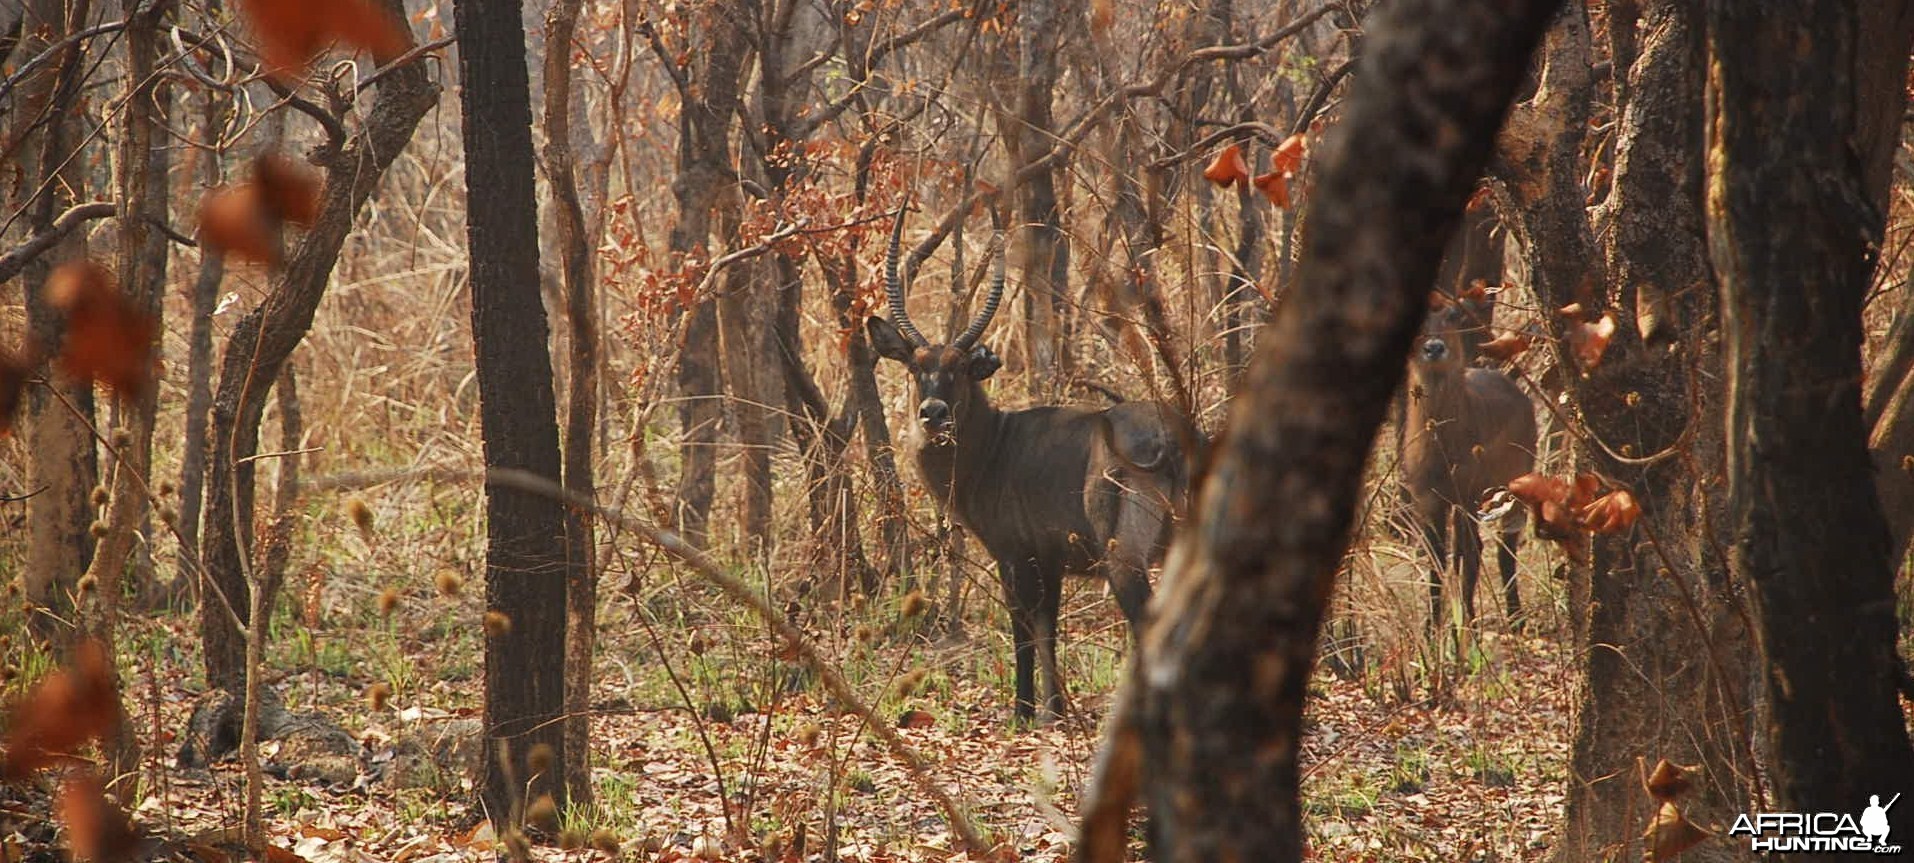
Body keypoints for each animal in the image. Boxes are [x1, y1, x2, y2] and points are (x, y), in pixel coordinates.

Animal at [872, 214, 1194, 723]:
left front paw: (1023, 711)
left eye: (959, 368)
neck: (993, 447)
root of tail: (1172, 437)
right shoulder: (1051, 560)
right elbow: (1049, 630)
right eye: (915, 367)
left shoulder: (1015, 555)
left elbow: (1023, 630)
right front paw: (1056, 710)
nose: (932, 413)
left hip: (1123, 557)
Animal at [1408, 298, 1538, 635]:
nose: (1434, 347)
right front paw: (1431, 630)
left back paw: (1515, 618)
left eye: (1454, 315)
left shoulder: (1467, 494)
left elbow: (1465, 559)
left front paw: (1462, 628)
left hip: (1514, 481)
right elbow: (1436, 562)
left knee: (1504, 547)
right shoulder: (1428, 498)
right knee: (1478, 548)